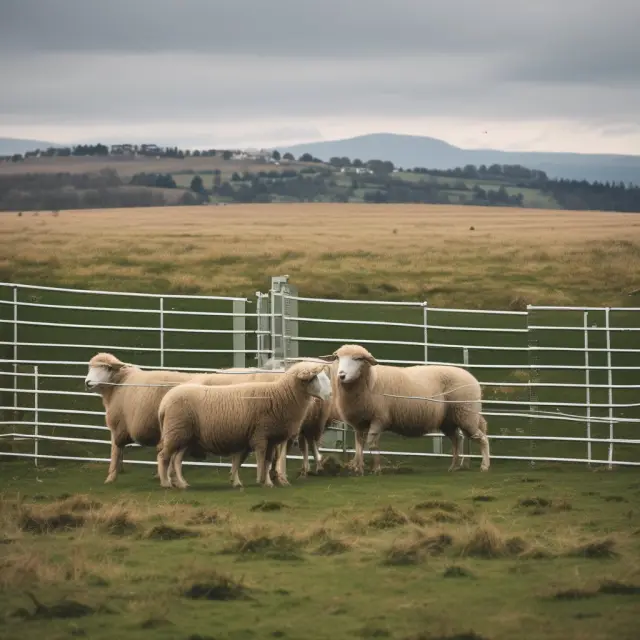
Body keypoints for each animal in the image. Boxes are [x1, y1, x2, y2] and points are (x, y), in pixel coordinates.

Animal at [83, 352, 284, 484]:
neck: (121, 384)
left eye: (106, 368)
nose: (87, 382)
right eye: (90, 368)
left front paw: (111, 477)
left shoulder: (119, 425)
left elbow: (116, 451)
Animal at [156, 361, 332, 490]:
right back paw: (166, 483)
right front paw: (262, 481)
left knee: (176, 460)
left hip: (184, 436)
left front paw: (264, 482)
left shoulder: (271, 438)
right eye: (314, 378)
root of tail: (164, 403)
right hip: (176, 432)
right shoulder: (261, 435)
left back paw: (182, 483)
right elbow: (262, 460)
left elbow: (267, 461)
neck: (280, 395)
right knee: (164, 456)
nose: (330, 394)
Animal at [319, 344, 490, 474]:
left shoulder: (379, 419)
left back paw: (484, 466)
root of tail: (472, 378)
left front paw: (376, 469)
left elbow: (372, 444)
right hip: (449, 420)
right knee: (457, 439)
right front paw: (358, 468)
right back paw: (453, 466)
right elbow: (359, 445)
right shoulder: (359, 422)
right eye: (337, 358)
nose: (341, 375)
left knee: (482, 438)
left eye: (358, 359)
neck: (371, 381)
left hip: (466, 413)